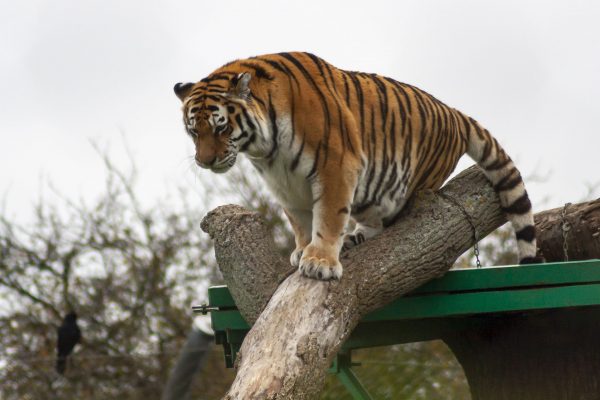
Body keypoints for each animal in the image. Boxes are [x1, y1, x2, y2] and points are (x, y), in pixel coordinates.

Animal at [175, 50, 544, 282]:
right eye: (193, 131)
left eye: (221, 128)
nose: (204, 161)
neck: (265, 148)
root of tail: (453, 112)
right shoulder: (284, 182)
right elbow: (299, 221)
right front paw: (302, 251)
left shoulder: (336, 166)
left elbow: (327, 217)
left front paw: (320, 262)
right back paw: (356, 237)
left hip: (407, 181)